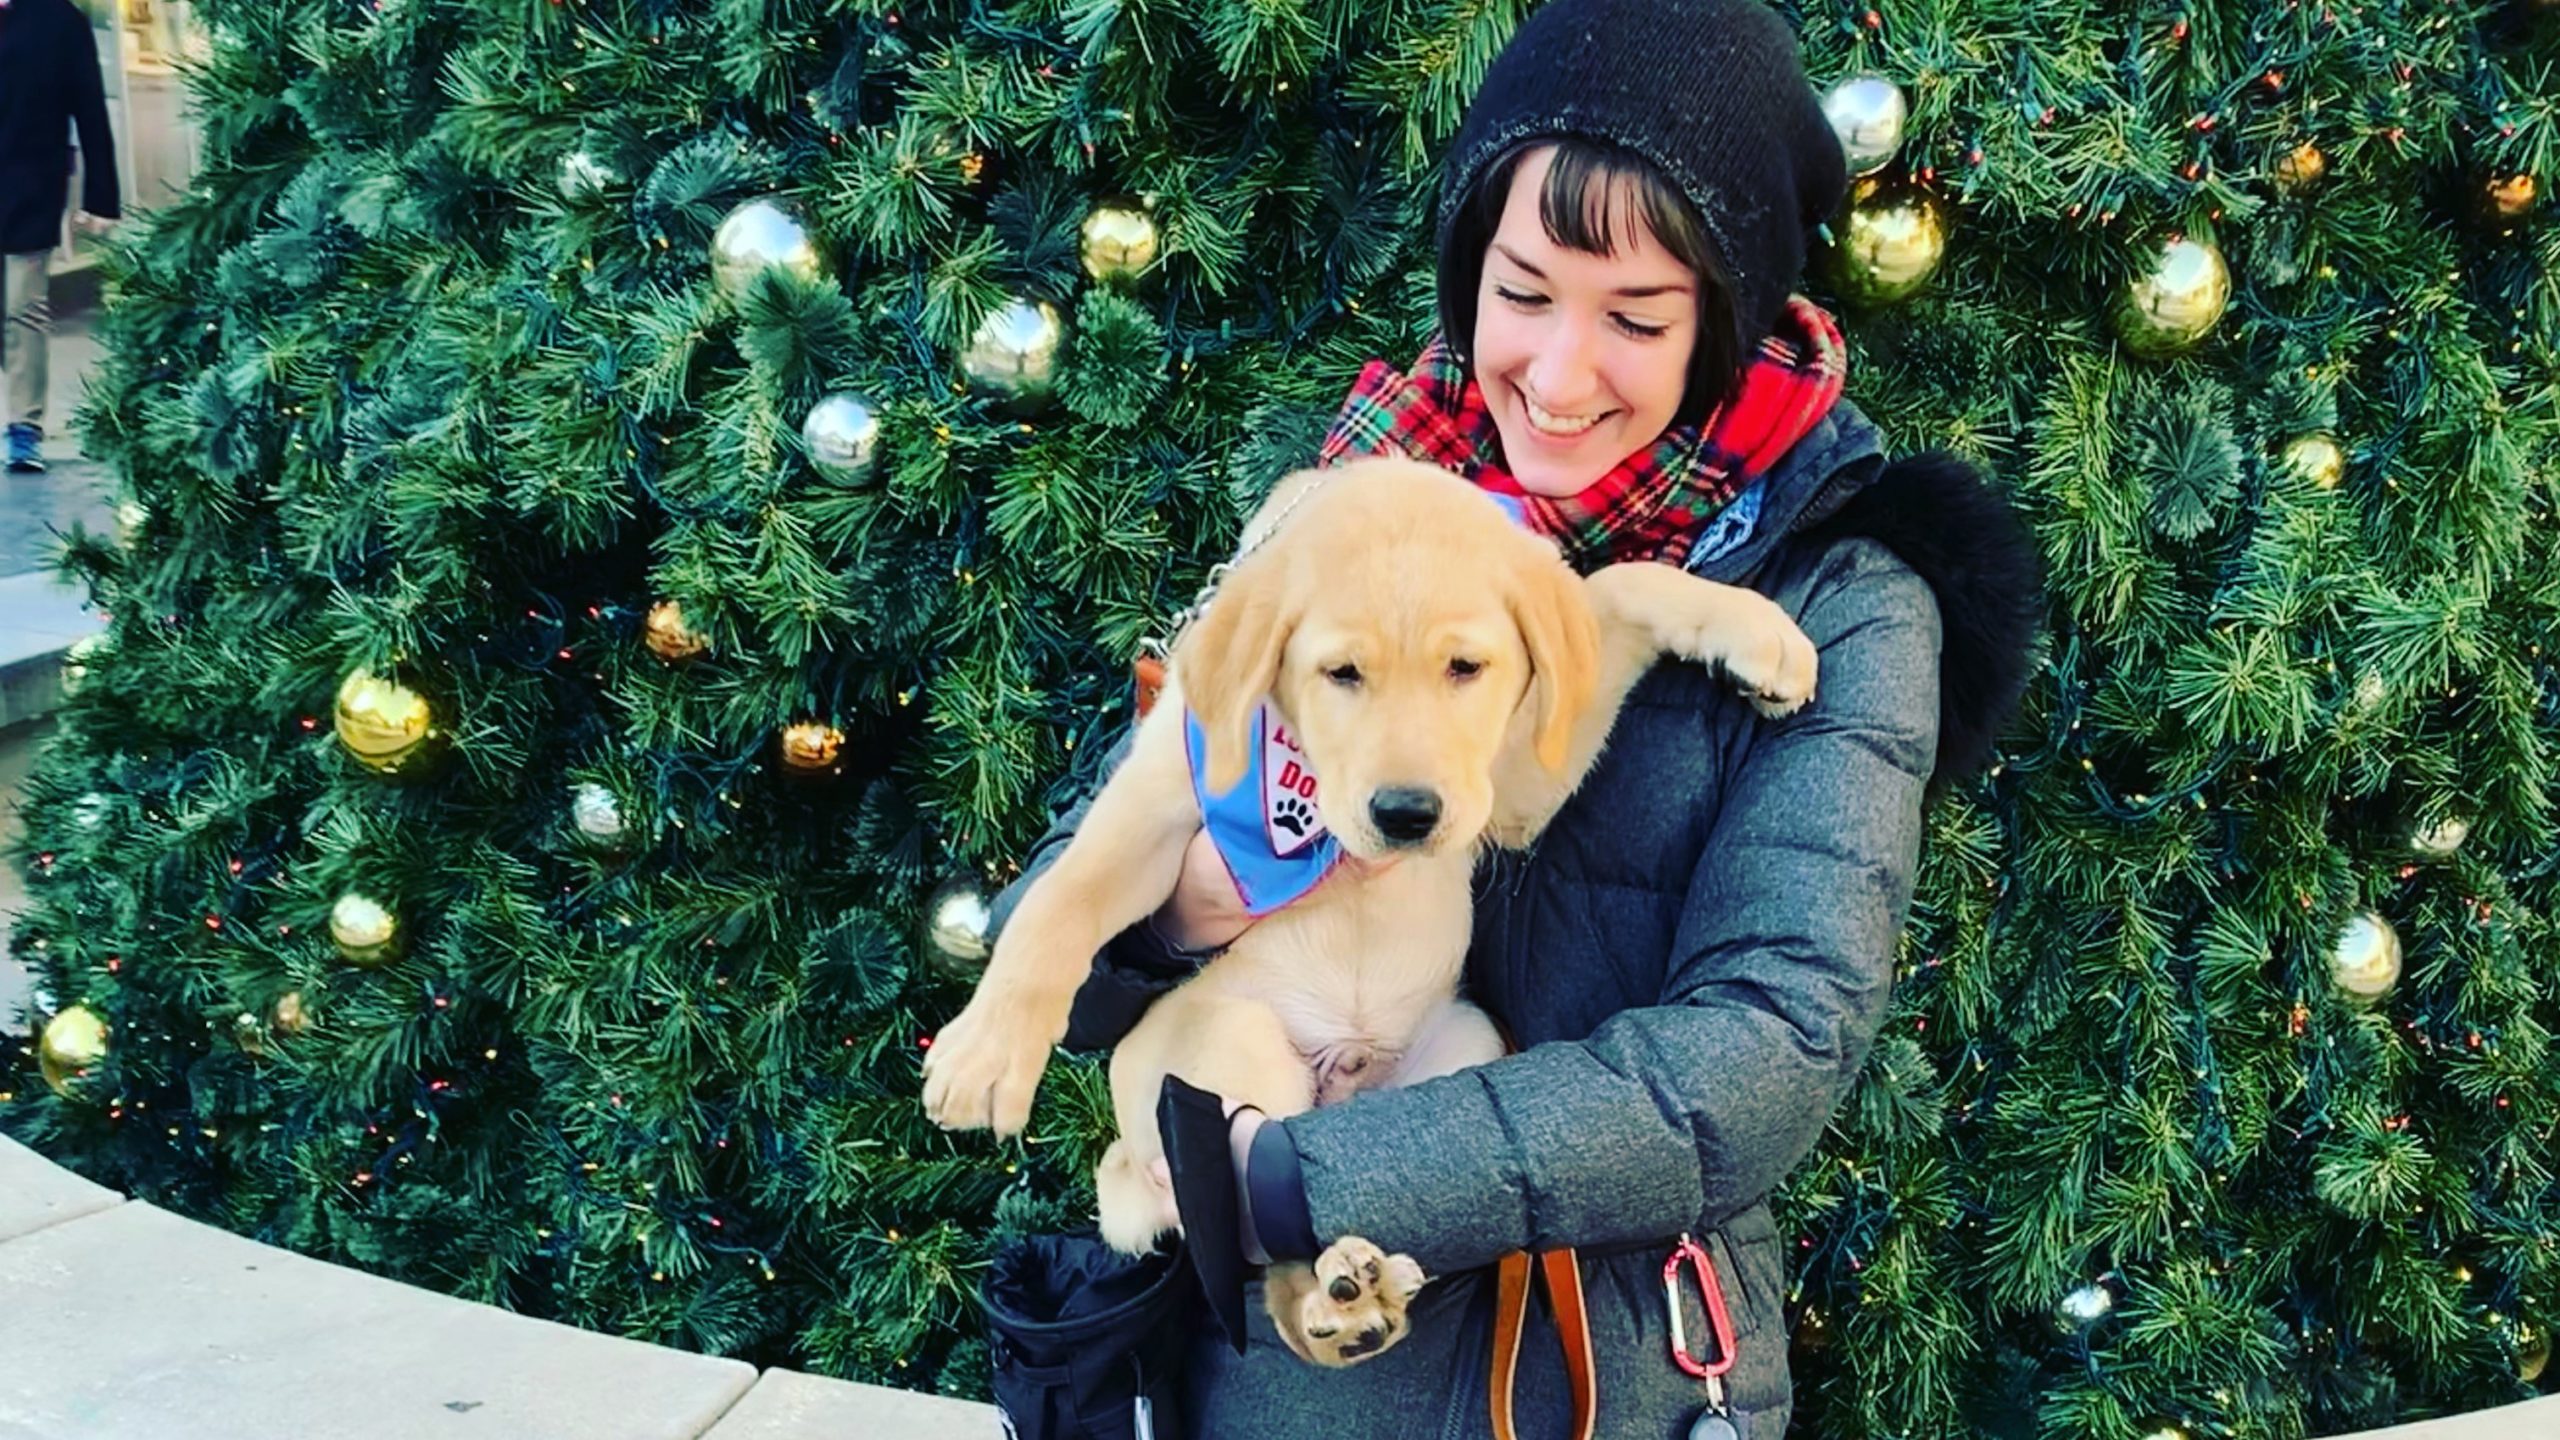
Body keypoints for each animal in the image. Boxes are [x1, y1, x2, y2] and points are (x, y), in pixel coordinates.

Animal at [926, 453, 1822, 1363]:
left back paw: (1356, 1294)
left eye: (1466, 669)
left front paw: (1759, 635)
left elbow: (1616, 586)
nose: (1406, 814)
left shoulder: (1510, 791)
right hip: (1232, 1043)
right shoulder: (1157, 795)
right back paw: (1339, 1301)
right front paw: (989, 1052)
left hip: (1466, 1042)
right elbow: (1061, 900)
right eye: (1342, 674)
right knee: (1258, 1208)